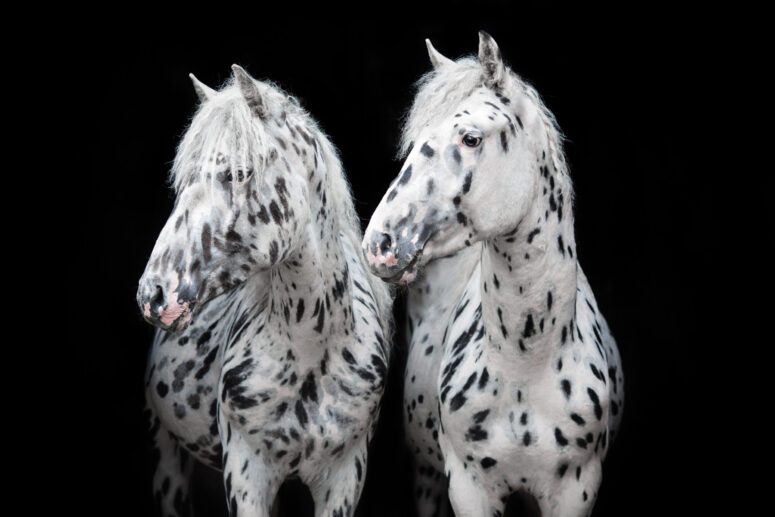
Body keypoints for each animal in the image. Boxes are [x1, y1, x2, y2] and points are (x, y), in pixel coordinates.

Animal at [136, 65, 393, 517]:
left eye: (238, 173)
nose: (154, 295)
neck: (311, 350)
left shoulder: (344, 479)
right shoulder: (246, 474)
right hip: (167, 454)